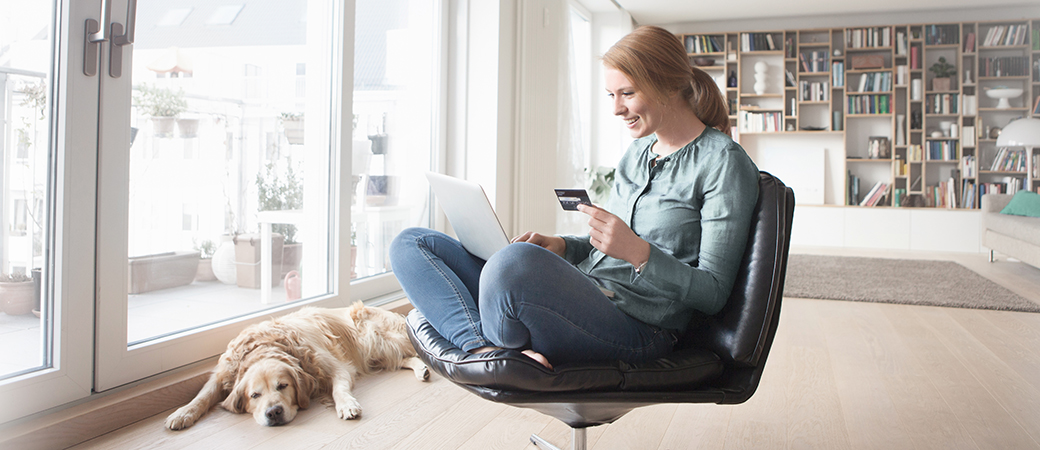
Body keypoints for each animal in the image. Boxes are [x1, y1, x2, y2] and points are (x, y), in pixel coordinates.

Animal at [164, 301, 428, 428]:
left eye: (283, 386)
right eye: (254, 395)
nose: (274, 413)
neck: (265, 346)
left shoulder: (336, 367)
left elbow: (339, 389)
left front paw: (346, 405)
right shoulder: (223, 373)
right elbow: (203, 395)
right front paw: (182, 413)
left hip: (380, 337)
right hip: (381, 350)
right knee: (404, 358)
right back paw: (421, 370)